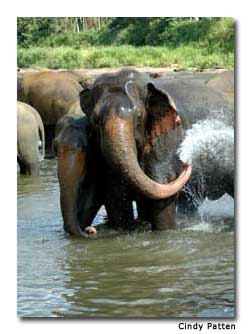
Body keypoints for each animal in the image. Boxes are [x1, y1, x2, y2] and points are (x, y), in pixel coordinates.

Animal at [54, 68, 192, 236]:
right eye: (96, 119)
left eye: (139, 116)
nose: (90, 231)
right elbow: (116, 197)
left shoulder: (167, 139)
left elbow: (162, 189)